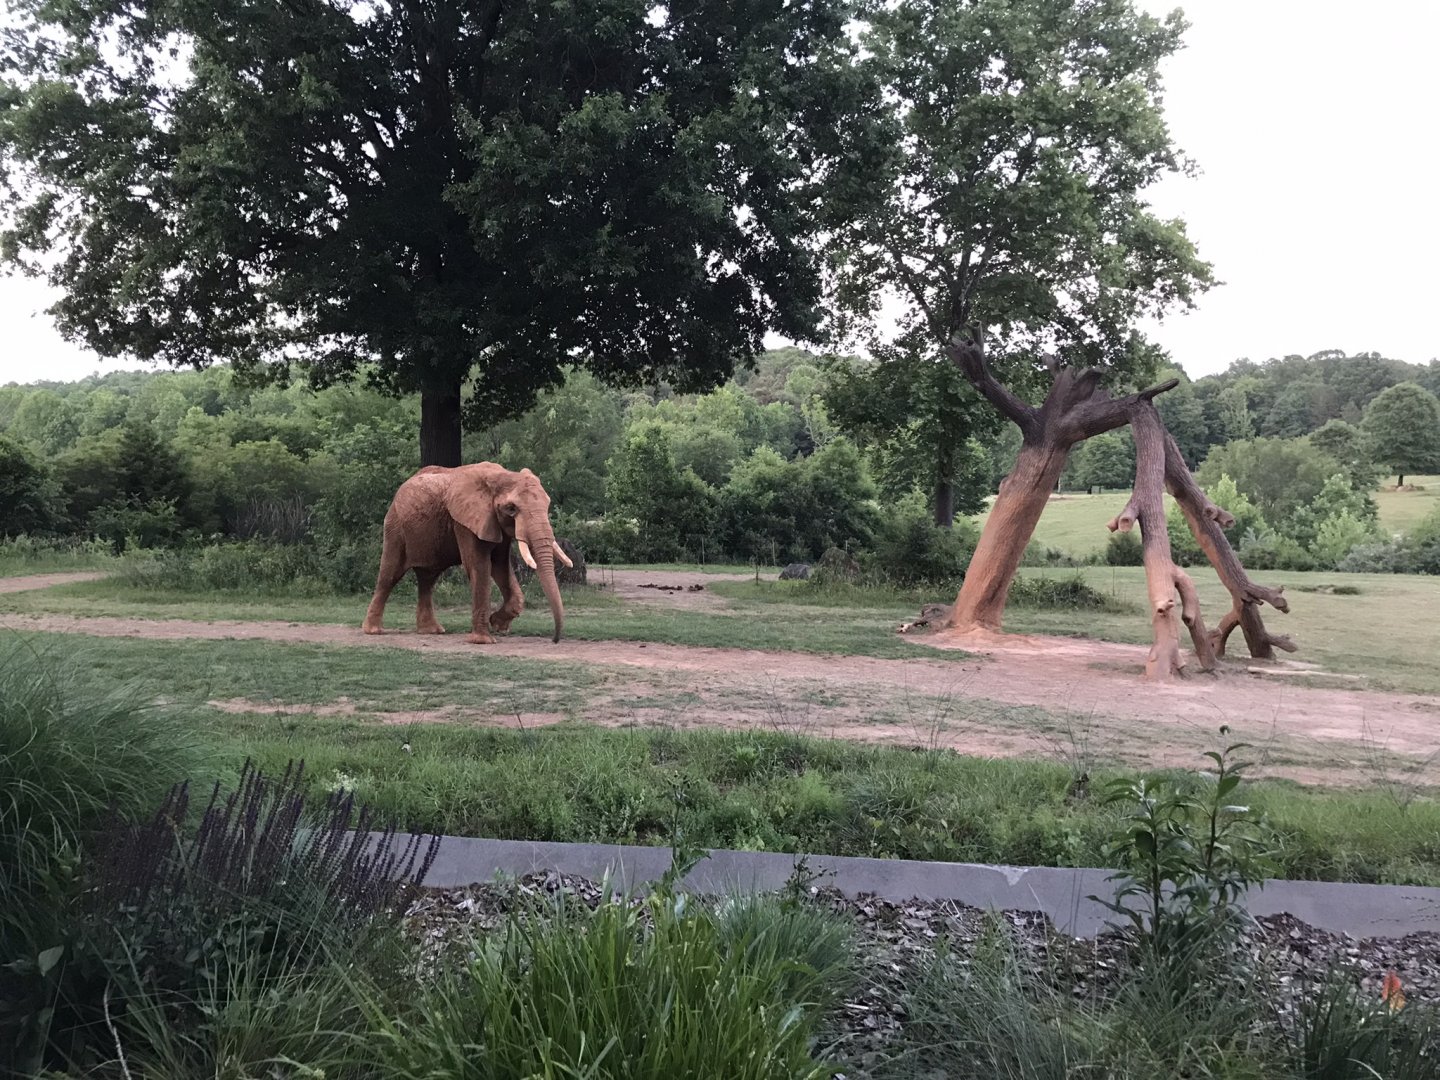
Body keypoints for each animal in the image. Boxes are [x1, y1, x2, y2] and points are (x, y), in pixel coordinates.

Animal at [362, 463, 573, 644]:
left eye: (547, 504)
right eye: (511, 509)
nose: (554, 640)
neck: (501, 475)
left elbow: (500, 566)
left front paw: (497, 624)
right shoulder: (464, 521)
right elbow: (479, 565)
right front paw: (484, 640)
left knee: (428, 579)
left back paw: (432, 631)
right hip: (395, 527)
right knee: (390, 575)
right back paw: (373, 631)